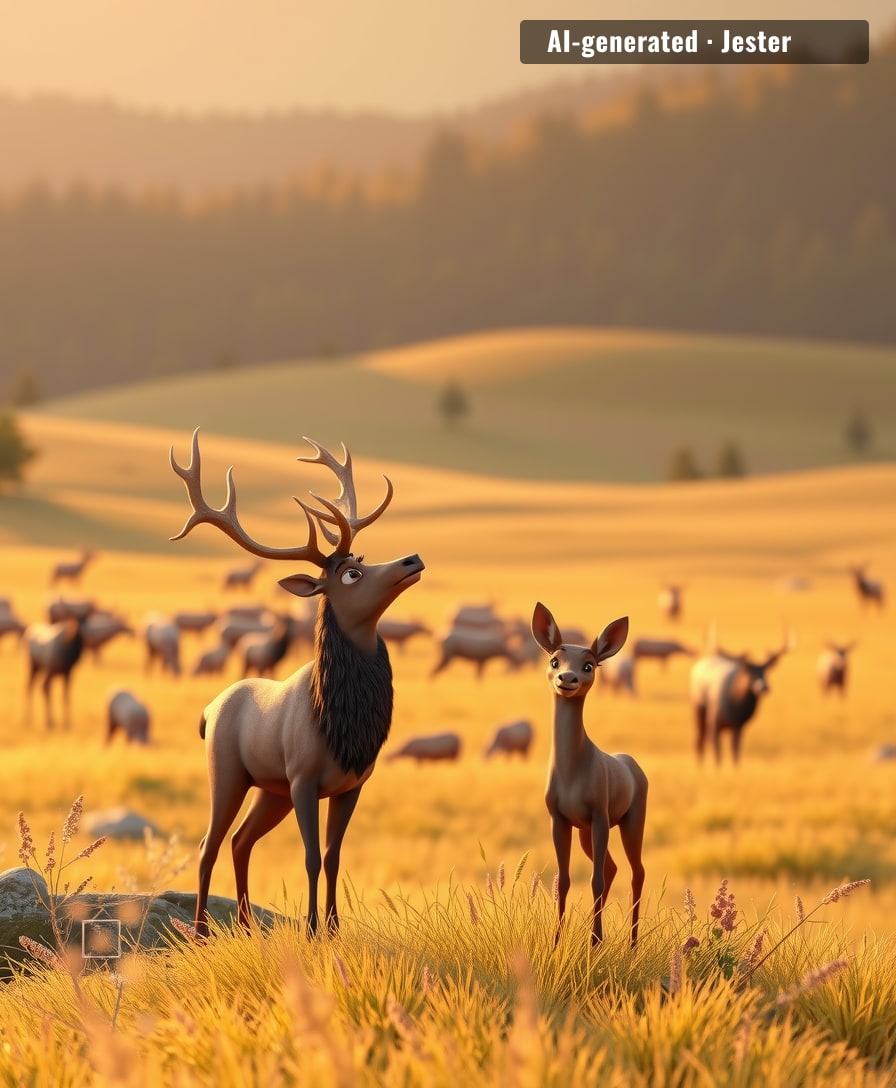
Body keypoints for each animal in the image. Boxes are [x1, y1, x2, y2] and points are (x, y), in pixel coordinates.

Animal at [169, 429, 424, 939]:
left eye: (362, 559)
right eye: (351, 574)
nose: (412, 559)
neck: (342, 722)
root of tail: (207, 712)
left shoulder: (352, 784)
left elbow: (333, 855)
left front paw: (334, 928)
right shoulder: (304, 778)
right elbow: (309, 857)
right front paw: (310, 930)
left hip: (270, 789)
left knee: (241, 840)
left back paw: (246, 925)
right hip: (230, 772)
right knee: (210, 842)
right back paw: (202, 931)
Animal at [531, 602, 648, 947]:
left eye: (589, 665)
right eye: (554, 660)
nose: (566, 678)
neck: (572, 771)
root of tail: (632, 764)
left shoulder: (599, 817)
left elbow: (594, 879)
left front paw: (596, 941)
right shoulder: (559, 819)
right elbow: (565, 880)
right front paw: (558, 942)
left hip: (630, 822)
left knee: (636, 871)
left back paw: (631, 943)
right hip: (585, 831)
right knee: (612, 868)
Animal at [689, 633, 792, 764]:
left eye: (766, 671)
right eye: (749, 672)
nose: (763, 687)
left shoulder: (738, 727)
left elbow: (735, 753)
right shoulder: (715, 725)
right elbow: (718, 755)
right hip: (699, 713)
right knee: (700, 741)